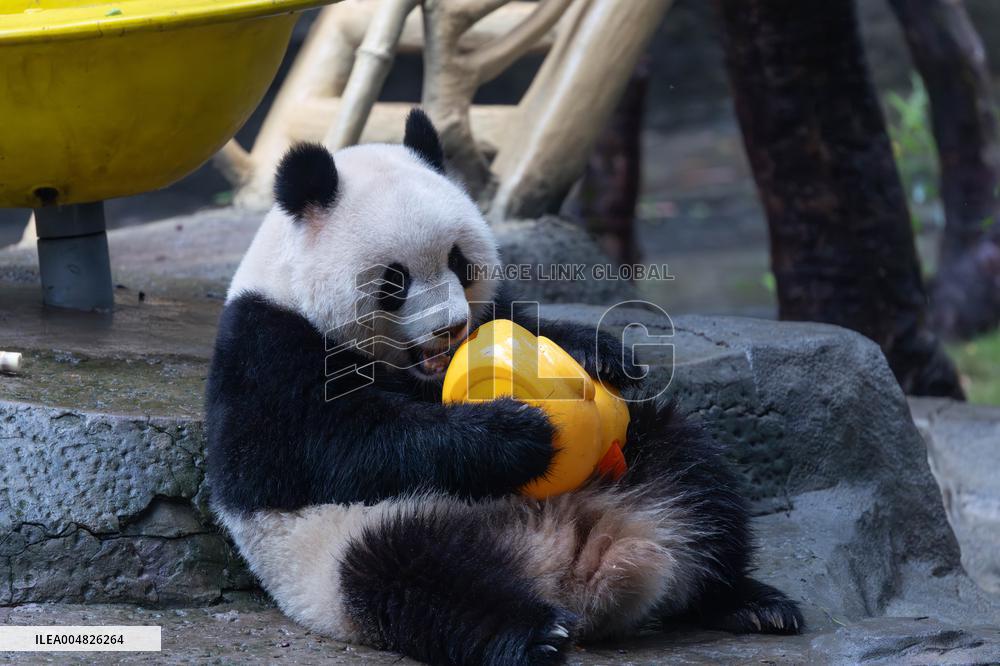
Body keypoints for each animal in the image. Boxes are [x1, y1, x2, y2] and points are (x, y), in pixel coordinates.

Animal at [206, 109, 802, 666]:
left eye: (459, 260)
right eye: (394, 280)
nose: (450, 328)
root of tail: (571, 555)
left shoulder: (490, 313)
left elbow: (525, 323)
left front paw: (606, 354)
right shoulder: (266, 347)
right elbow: (315, 447)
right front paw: (514, 432)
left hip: (637, 464)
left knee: (697, 476)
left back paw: (749, 602)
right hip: (351, 543)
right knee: (422, 582)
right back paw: (534, 634)